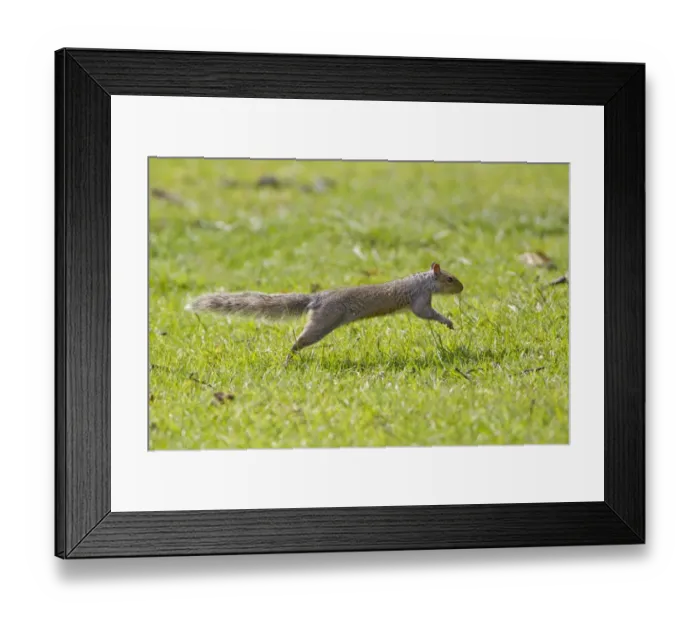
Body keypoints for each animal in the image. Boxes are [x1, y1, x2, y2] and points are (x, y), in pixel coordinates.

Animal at [187, 262, 464, 355]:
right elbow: (425, 314)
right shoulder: (419, 298)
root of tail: (317, 299)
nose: (462, 288)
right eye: (450, 279)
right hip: (323, 321)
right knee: (299, 341)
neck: (424, 280)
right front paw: (448, 322)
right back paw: (288, 359)